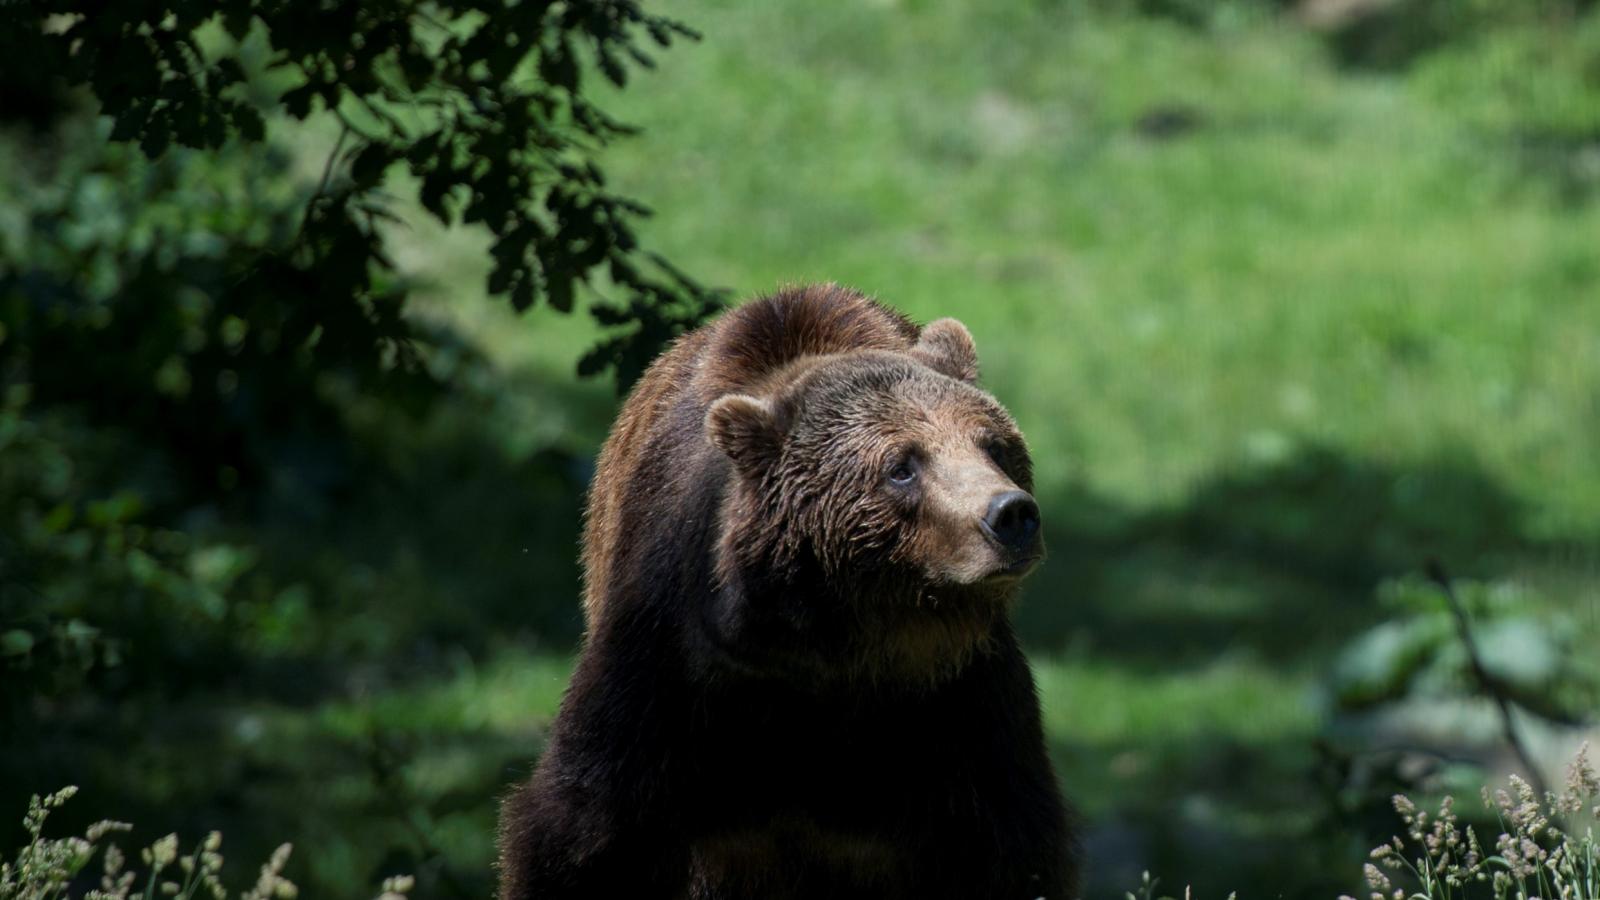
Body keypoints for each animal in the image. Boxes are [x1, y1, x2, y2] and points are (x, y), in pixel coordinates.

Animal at [499, 281, 1075, 896]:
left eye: (993, 445)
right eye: (901, 466)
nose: (1010, 515)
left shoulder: (959, 700)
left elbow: (1010, 843)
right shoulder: (672, 666)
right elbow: (584, 830)